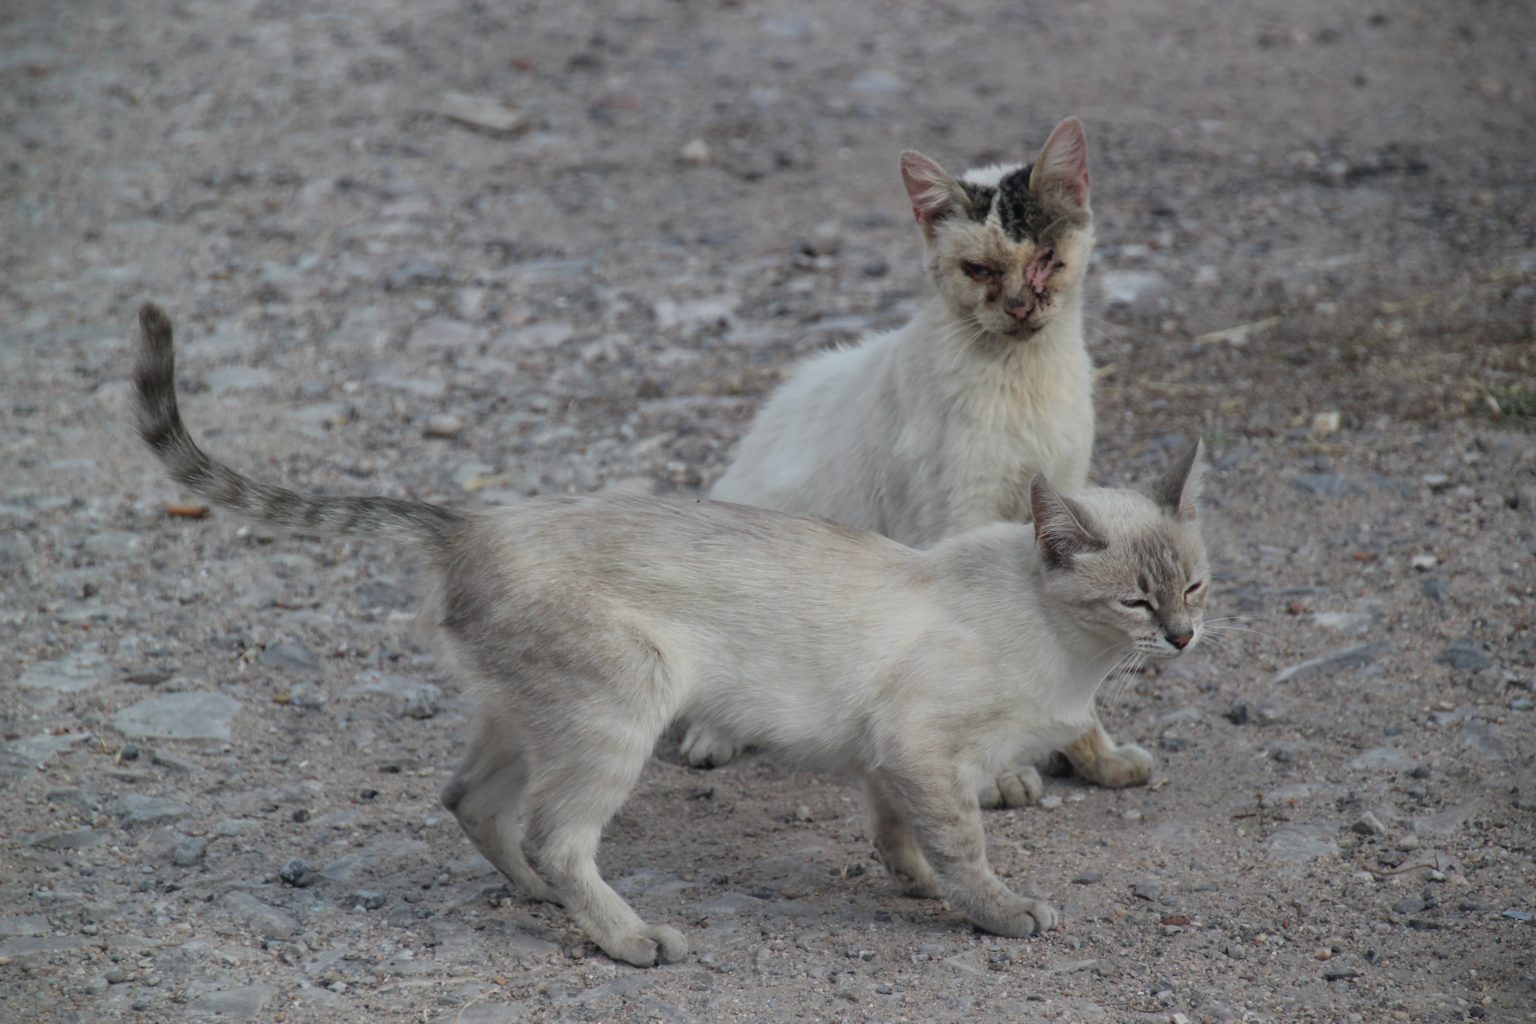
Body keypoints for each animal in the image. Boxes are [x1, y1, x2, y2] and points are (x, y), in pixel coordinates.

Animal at [132, 303, 1210, 970]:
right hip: (621, 711)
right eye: (1135, 602)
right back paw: (628, 938)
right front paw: (998, 911)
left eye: (1196, 584)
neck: (1076, 666)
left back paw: (538, 898)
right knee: (559, 834)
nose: (1187, 637)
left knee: (473, 803)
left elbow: (899, 835)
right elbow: (965, 848)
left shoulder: (889, 755)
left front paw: (909, 885)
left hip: (529, 717)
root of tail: (469, 521)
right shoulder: (922, 747)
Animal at [697, 120, 1155, 804]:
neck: (1021, 381)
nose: (1020, 305)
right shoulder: (959, 519)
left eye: (1047, 258)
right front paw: (1003, 774)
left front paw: (1094, 757)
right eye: (979, 269)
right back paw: (716, 732)